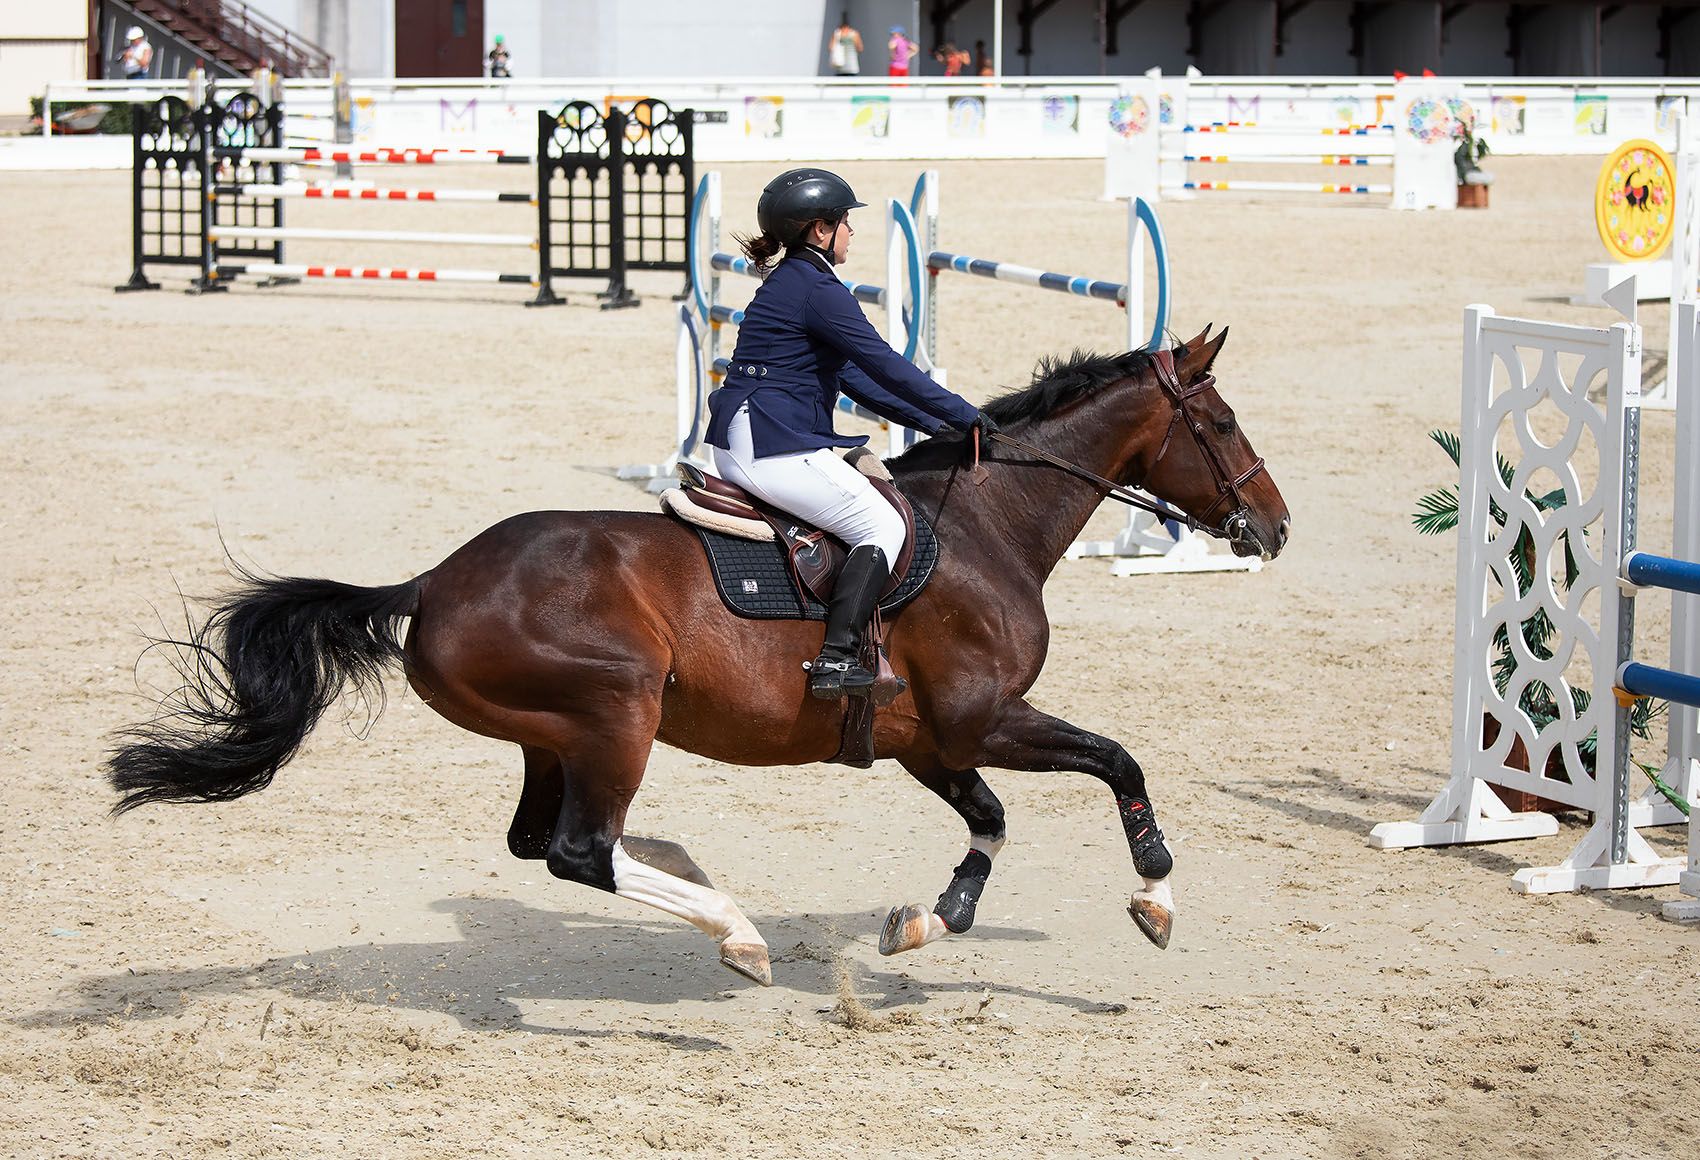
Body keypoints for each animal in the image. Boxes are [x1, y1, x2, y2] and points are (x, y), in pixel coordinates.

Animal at [106, 324, 1285, 986]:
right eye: (1224, 422)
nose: (1273, 527)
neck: (989, 523)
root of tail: (433, 581)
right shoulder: (982, 717)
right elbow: (1120, 761)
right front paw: (1155, 898)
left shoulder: (929, 739)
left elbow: (988, 820)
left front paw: (930, 919)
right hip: (615, 712)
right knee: (580, 850)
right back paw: (735, 928)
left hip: (555, 735)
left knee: (543, 842)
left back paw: (704, 889)